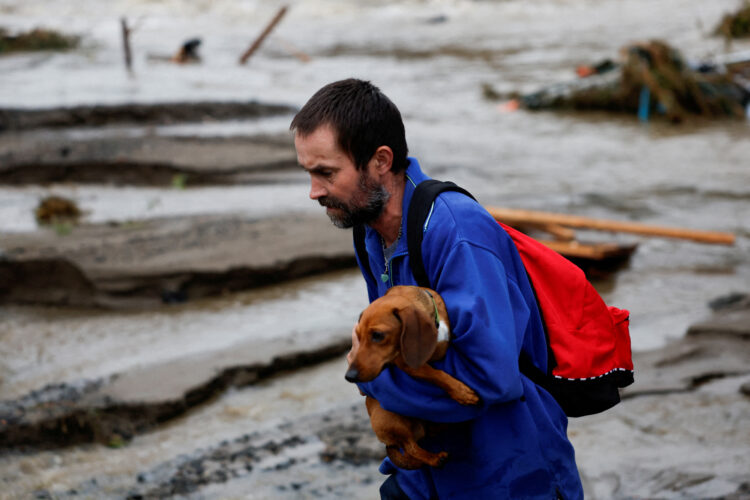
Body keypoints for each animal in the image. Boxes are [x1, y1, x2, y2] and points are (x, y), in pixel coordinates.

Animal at [348, 286, 482, 468]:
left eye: (377, 335)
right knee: (410, 448)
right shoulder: (409, 365)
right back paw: (434, 458)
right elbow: (435, 374)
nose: (349, 376)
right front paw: (461, 392)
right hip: (390, 419)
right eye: (358, 336)